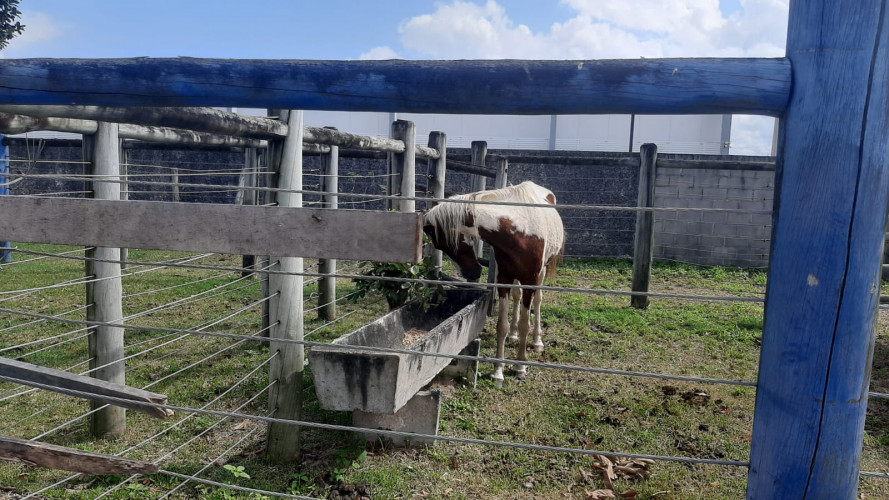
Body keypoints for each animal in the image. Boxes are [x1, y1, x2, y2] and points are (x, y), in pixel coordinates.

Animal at [422, 182, 560, 384]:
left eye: (442, 244)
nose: (473, 272)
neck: (520, 232)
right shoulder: (503, 280)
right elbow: (502, 325)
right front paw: (498, 371)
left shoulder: (530, 281)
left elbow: (525, 324)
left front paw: (519, 367)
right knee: (517, 297)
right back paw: (513, 335)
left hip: (541, 274)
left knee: (538, 300)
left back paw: (537, 341)